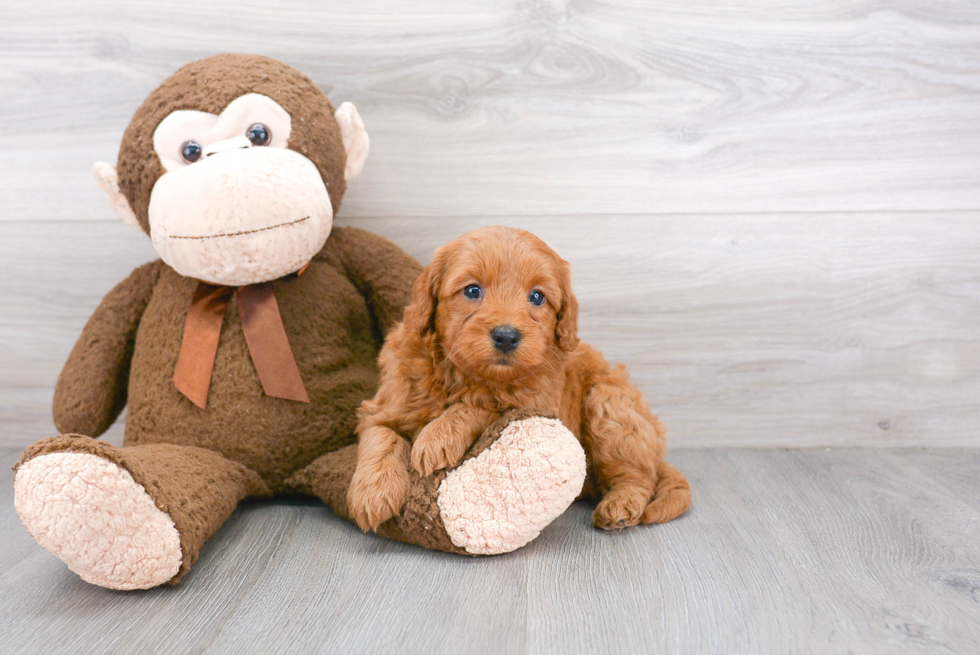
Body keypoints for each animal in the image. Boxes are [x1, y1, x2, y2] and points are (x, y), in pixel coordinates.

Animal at [348, 226, 692, 532]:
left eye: (537, 297)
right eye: (472, 290)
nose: (506, 336)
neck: (463, 375)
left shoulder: (533, 402)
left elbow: (482, 405)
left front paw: (437, 437)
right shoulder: (383, 405)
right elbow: (381, 437)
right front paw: (372, 495)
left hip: (610, 408)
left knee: (639, 475)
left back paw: (620, 506)